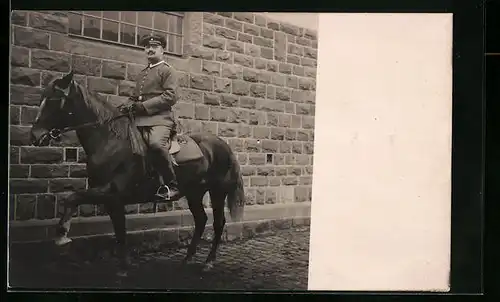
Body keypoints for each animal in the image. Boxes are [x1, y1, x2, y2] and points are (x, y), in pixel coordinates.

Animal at [28, 71, 246, 276]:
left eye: (54, 100)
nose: (35, 136)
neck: (110, 140)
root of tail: (223, 145)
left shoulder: (111, 192)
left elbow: (73, 198)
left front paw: (62, 235)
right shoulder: (111, 200)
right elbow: (119, 232)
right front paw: (124, 266)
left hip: (217, 193)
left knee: (218, 224)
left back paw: (208, 262)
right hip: (194, 193)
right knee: (201, 220)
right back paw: (186, 260)